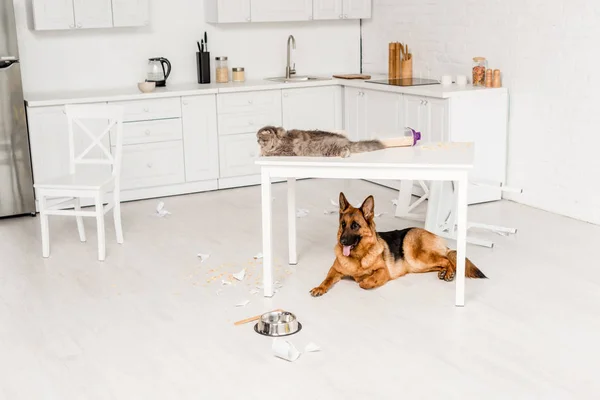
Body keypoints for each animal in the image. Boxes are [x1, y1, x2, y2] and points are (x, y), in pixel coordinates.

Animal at [310, 192, 488, 298]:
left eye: (355, 226)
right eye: (343, 224)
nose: (342, 242)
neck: (359, 257)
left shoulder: (383, 271)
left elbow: (365, 282)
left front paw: (364, 280)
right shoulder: (335, 270)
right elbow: (327, 279)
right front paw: (319, 287)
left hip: (416, 256)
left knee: (447, 259)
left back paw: (449, 273)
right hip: (418, 266)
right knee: (442, 261)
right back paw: (444, 272)